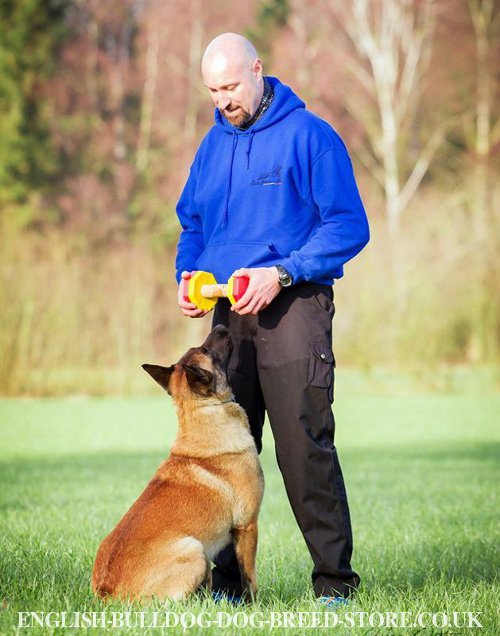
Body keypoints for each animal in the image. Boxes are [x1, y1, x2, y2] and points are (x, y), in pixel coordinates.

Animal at [91, 328, 264, 600]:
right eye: (205, 351)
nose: (221, 328)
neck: (200, 413)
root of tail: (106, 593)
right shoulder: (247, 527)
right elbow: (250, 580)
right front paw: (255, 605)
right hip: (196, 549)